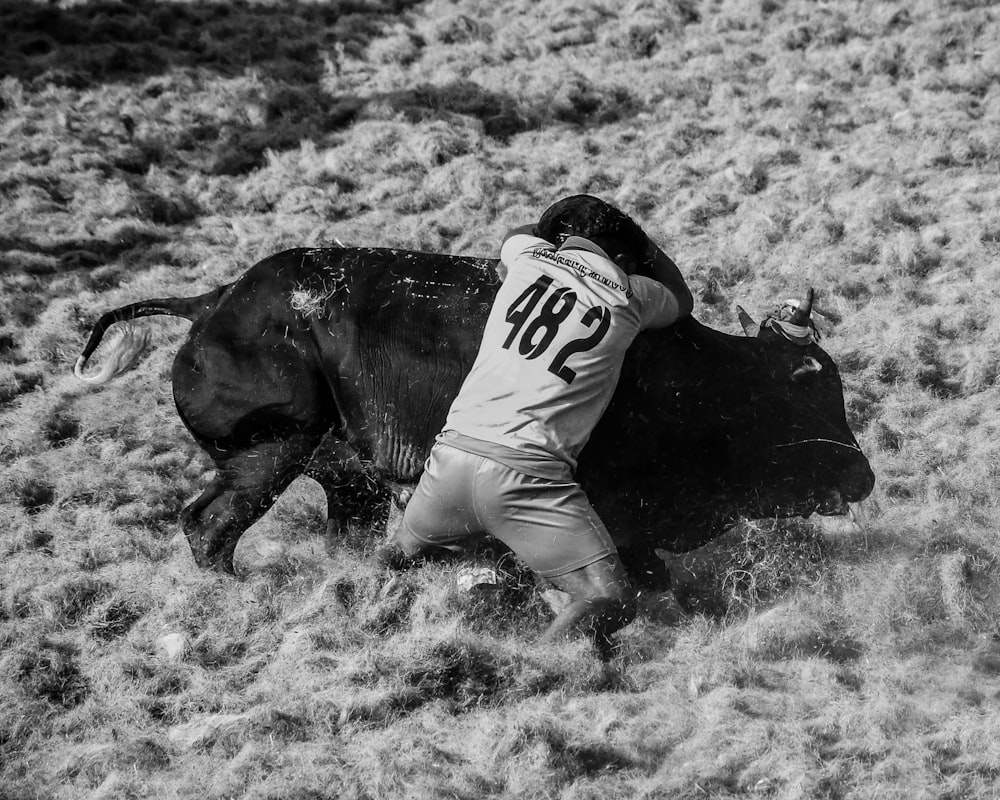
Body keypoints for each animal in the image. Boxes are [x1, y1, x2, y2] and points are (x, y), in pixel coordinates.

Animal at [76, 244, 876, 580]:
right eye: (810, 386)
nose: (862, 476)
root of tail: (213, 302)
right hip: (267, 454)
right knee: (208, 526)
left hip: (343, 479)